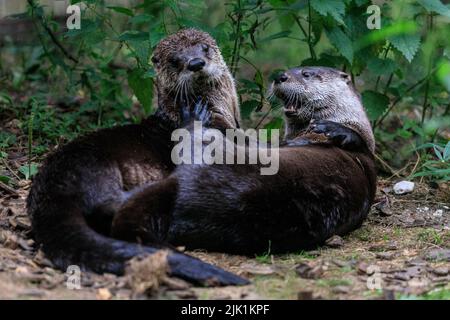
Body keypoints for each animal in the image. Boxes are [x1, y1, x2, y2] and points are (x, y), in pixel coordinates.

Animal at [25, 28, 246, 286]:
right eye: (175, 60)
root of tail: (48, 188)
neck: (215, 112)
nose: (195, 63)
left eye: (204, 48)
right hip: (97, 168)